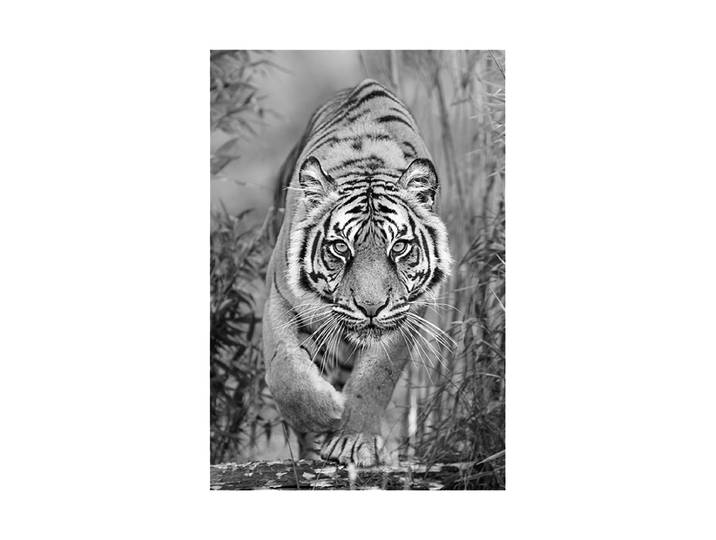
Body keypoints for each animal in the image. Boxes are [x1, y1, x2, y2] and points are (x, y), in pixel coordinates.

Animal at [262, 78, 452, 466]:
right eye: (340, 248)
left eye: (399, 247)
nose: (370, 308)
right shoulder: (279, 300)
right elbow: (286, 370)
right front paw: (326, 413)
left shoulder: (408, 314)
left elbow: (375, 378)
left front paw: (352, 441)